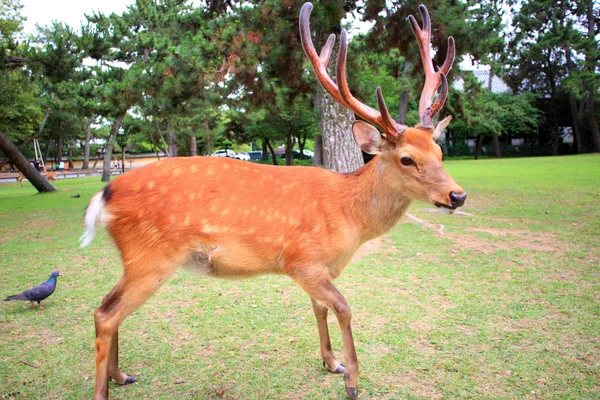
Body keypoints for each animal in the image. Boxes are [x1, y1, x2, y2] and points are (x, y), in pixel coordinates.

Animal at [79, 3, 464, 400]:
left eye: (438, 151)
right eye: (407, 159)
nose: (457, 195)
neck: (349, 217)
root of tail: (104, 194)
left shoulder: (318, 269)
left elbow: (320, 310)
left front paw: (331, 363)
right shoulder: (301, 260)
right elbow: (343, 308)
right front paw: (353, 380)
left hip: (136, 259)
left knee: (104, 307)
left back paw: (121, 375)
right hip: (151, 257)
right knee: (106, 314)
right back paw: (104, 388)